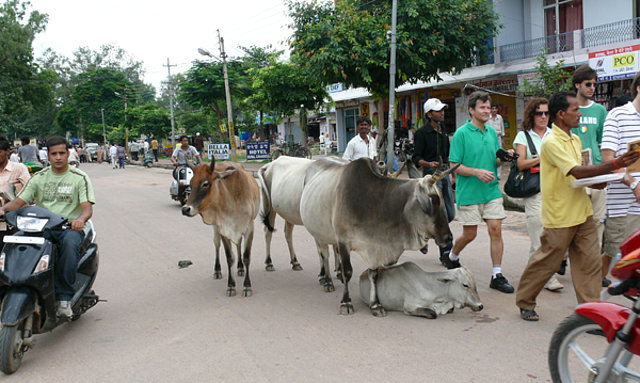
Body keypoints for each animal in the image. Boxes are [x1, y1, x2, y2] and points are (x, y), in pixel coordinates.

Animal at [180, 158, 260, 298]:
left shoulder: (249, 227)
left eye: (205, 183)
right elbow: (229, 258)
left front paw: (247, 286)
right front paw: (231, 286)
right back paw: (217, 270)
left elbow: (246, 257)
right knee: (217, 245)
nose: (185, 209)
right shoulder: (223, 228)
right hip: (216, 228)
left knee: (238, 244)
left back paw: (240, 268)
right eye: (190, 182)